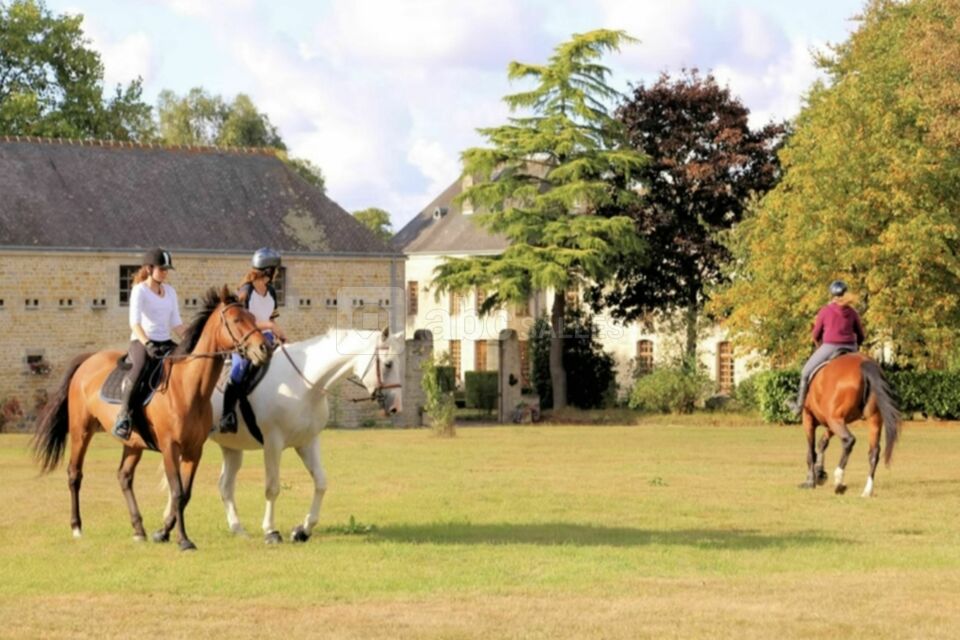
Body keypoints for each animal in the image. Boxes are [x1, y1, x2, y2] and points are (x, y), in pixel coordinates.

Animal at [32, 287, 271, 550]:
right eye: (236, 320)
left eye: (252, 317)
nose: (264, 349)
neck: (188, 387)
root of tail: (88, 361)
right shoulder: (170, 447)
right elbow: (177, 491)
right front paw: (182, 540)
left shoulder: (194, 450)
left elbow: (185, 494)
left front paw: (163, 533)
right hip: (81, 431)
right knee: (75, 473)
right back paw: (76, 527)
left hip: (133, 443)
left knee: (124, 477)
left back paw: (139, 529)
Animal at [196, 327, 404, 543]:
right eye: (388, 364)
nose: (396, 407)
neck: (303, 384)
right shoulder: (273, 443)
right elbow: (272, 488)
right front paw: (271, 531)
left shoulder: (307, 442)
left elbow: (321, 483)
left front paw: (303, 530)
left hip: (232, 447)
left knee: (225, 486)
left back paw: (238, 529)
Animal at [798, 352, 901, 497]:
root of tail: (864, 363)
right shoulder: (832, 423)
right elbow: (822, 443)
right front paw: (819, 473)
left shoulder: (809, 418)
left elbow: (810, 451)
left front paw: (810, 481)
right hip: (873, 418)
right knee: (874, 451)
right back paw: (867, 491)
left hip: (835, 419)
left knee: (849, 440)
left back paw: (839, 481)